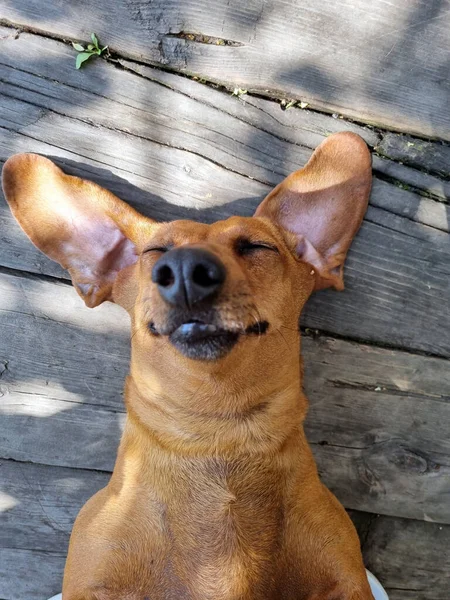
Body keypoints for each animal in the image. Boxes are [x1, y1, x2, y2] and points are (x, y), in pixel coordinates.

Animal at [3, 132, 372, 600]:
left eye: (257, 246)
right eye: (156, 251)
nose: (184, 269)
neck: (217, 432)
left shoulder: (347, 578)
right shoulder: (92, 579)